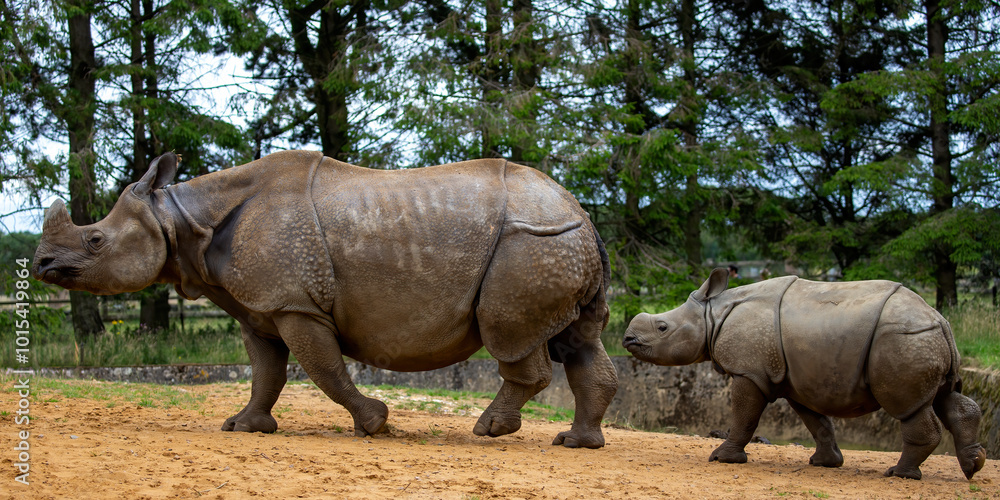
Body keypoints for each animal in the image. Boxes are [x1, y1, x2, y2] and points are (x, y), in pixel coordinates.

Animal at [33, 150, 618, 448]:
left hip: (532, 241)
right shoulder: (262, 306)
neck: (180, 219)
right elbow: (265, 371)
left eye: (95, 240)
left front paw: (374, 424)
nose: (40, 265)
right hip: (559, 241)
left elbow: (323, 368)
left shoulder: (295, 302)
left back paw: (489, 431)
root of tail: (583, 213)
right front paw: (244, 428)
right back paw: (576, 442)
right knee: (580, 341)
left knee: (511, 335)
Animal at [623, 268, 987, 480]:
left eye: (662, 327)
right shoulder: (797, 380)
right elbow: (817, 421)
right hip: (923, 340)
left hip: (904, 339)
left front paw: (721, 459)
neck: (712, 313)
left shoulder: (749, 372)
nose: (627, 339)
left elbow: (745, 415)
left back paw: (900, 474)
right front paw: (826, 463)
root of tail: (940, 320)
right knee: (945, 397)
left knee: (909, 407)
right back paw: (973, 466)